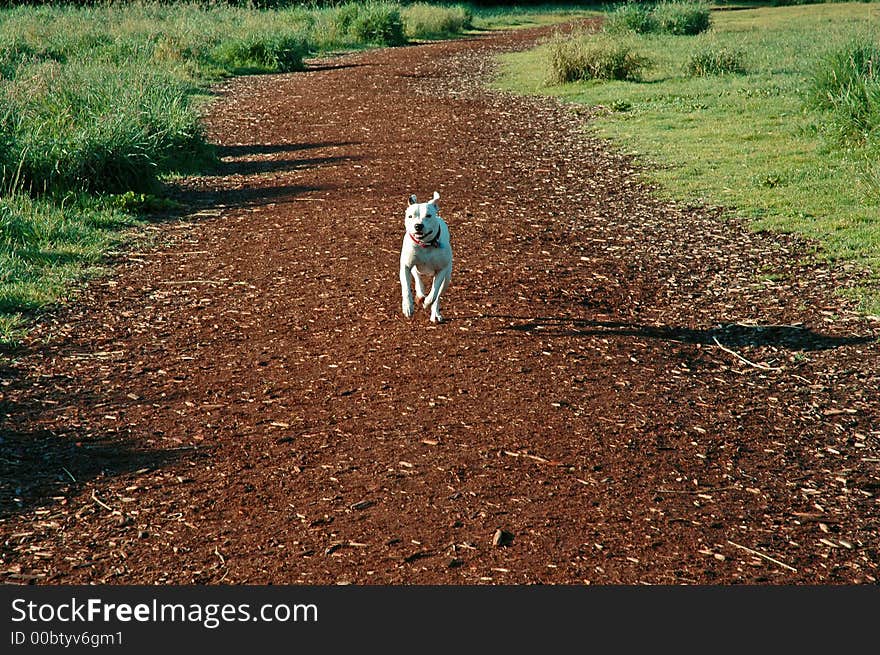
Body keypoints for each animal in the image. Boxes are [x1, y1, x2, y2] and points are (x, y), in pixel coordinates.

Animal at [400, 191, 454, 324]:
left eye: (428, 216)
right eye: (410, 216)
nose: (418, 226)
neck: (425, 245)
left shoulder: (441, 270)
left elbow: (434, 293)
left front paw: (427, 303)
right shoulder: (406, 266)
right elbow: (406, 288)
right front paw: (408, 306)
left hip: (447, 278)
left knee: (438, 296)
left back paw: (435, 314)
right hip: (415, 268)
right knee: (418, 279)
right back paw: (419, 295)